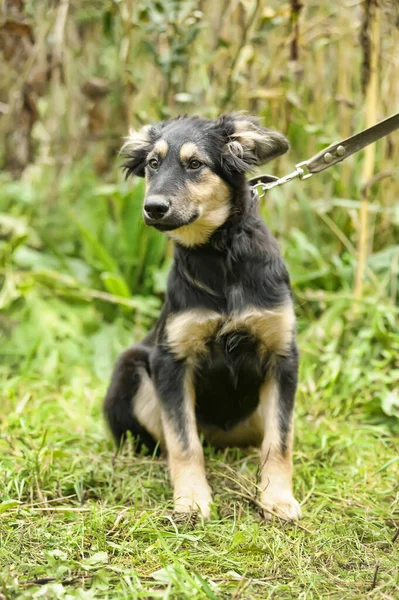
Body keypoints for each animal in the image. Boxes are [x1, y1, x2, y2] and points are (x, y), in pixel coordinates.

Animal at [104, 112, 302, 520]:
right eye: (153, 163)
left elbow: (280, 439)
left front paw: (277, 498)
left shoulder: (283, 356)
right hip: (129, 368)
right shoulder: (171, 359)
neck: (220, 254)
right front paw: (192, 500)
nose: (153, 208)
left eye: (195, 164)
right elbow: (183, 440)